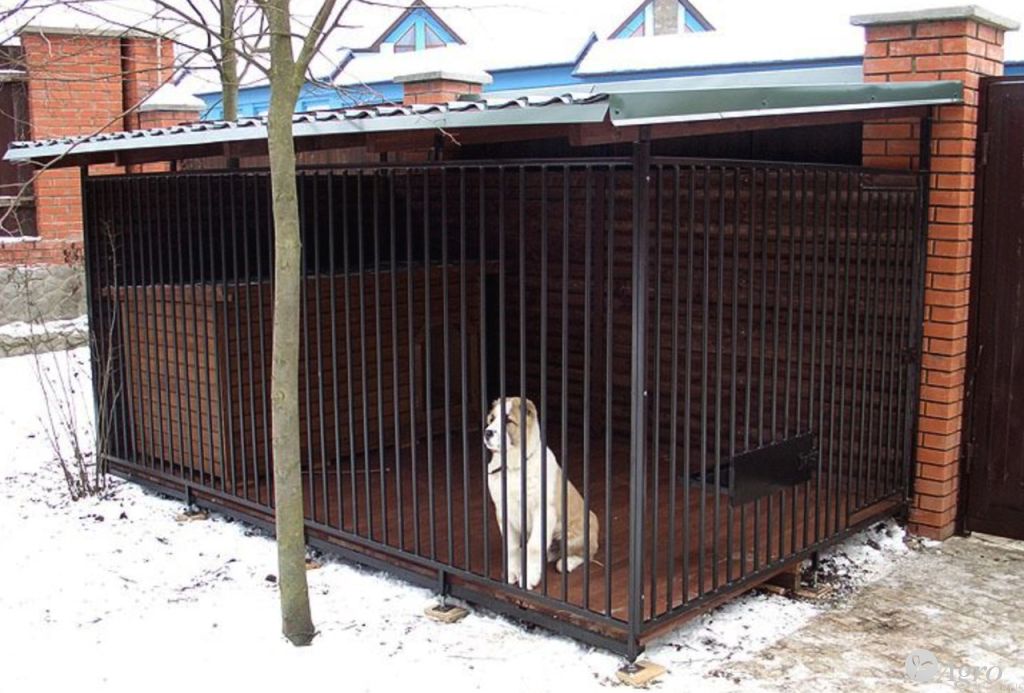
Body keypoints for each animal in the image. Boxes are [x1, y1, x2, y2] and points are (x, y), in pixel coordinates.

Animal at [481, 397, 598, 585]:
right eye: (491, 419)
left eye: (508, 421)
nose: (487, 432)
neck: (514, 466)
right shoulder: (502, 509)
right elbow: (511, 545)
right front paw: (512, 572)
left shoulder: (544, 511)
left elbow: (534, 546)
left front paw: (529, 577)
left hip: (577, 533)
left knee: (585, 554)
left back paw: (567, 563)